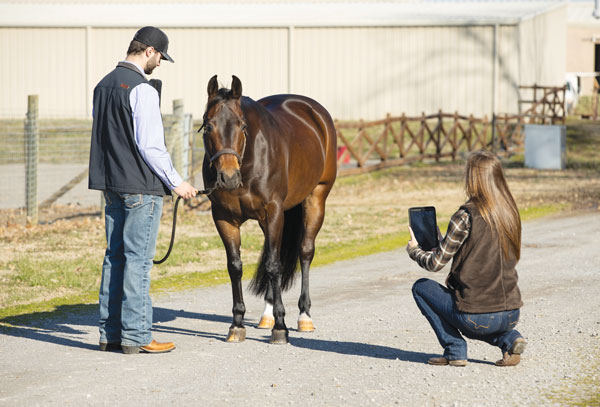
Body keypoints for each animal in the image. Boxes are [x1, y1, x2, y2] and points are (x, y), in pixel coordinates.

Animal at [202, 75, 338, 344]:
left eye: (242, 126)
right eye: (209, 126)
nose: (228, 177)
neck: (249, 162)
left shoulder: (273, 212)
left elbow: (274, 266)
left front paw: (281, 327)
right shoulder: (223, 218)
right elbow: (235, 266)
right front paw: (237, 324)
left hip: (316, 198)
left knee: (305, 252)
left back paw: (304, 316)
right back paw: (267, 315)